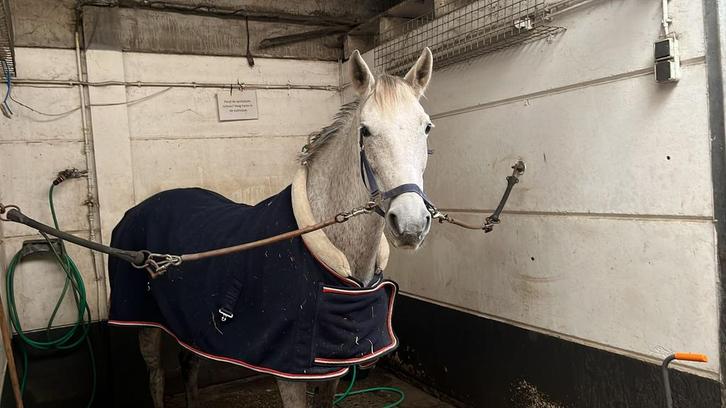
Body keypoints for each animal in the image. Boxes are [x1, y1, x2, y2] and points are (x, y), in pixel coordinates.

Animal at [107, 48, 435, 408]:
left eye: (426, 128)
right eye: (365, 131)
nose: (410, 224)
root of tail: (136, 210)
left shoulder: (330, 371)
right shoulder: (289, 375)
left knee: (189, 363)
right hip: (146, 323)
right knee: (156, 377)